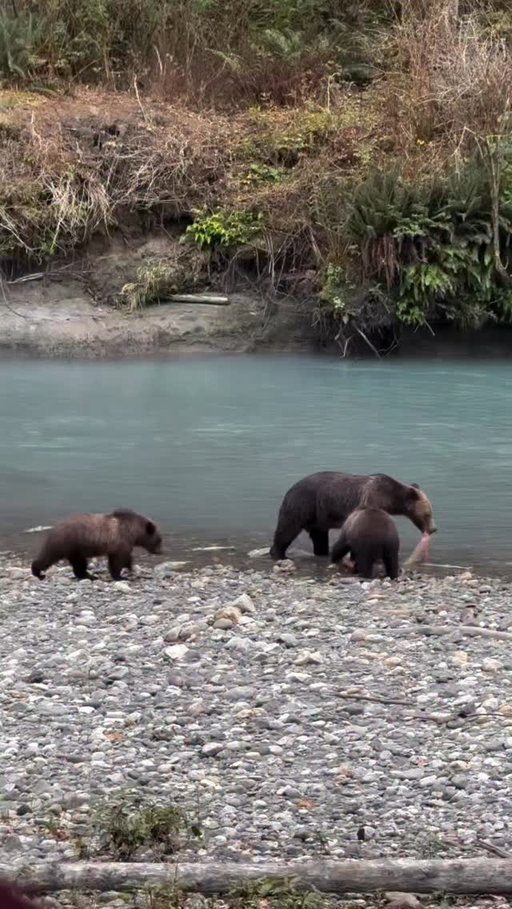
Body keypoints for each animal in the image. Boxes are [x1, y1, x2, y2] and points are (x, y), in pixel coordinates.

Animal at [31, 509, 163, 581]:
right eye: (159, 540)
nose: (160, 551)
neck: (133, 532)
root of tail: (54, 528)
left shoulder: (120, 544)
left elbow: (123, 558)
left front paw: (129, 569)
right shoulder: (120, 542)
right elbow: (118, 560)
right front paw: (121, 576)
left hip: (74, 549)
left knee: (78, 564)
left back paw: (88, 576)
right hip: (68, 543)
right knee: (50, 556)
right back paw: (38, 572)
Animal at [270, 471, 436, 560]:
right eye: (428, 513)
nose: (434, 528)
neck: (388, 498)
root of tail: (291, 489)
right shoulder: (370, 502)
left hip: (318, 517)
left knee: (319, 537)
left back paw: (322, 553)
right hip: (302, 505)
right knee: (287, 530)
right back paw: (279, 554)